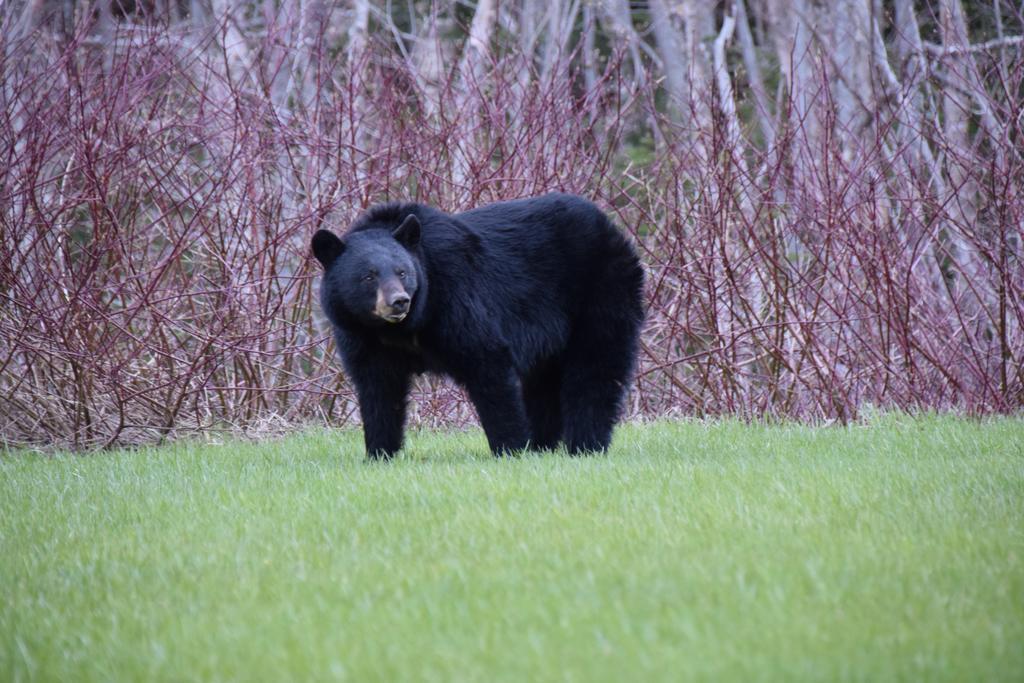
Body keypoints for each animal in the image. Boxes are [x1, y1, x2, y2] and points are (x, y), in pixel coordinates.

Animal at [311, 193, 643, 458]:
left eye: (402, 272)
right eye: (368, 276)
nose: (399, 302)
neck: (398, 329)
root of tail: (611, 227)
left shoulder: (457, 297)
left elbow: (487, 364)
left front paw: (510, 449)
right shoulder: (361, 337)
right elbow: (378, 389)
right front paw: (379, 453)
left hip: (601, 292)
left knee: (594, 370)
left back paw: (584, 445)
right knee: (543, 385)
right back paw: (542, 445)